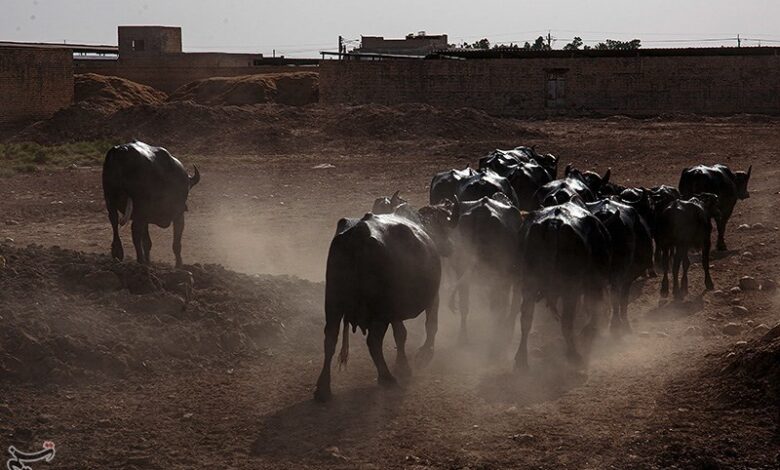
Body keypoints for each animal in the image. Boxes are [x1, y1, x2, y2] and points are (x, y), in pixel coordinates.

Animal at [102, 140, 200, 268]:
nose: (185, 206)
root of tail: (121, 151)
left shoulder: (145, 217)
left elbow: (147, 242)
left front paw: (149, 261)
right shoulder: (178, 215)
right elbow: (176, 244)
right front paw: (179, 265)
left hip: (110, 199)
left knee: (114, 221)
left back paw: (118, 253)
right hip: (139, 206)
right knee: (135, 230)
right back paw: (140, 260)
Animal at [312, 199, 458, 400]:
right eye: (444, 225)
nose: (451, 247)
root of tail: (359, 234)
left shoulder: (394, 312)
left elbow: (401, 334)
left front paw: (403, 365)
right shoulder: (432, 297)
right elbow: (430, 325)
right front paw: (424, 354)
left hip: (333, 302)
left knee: (330, 339)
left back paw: (323, 389)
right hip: (379, 312)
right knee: (373, 342)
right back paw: (386, 377)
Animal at [512, 202, 616, 370]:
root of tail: (554, 223)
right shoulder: (595, 283)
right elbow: (594, 309)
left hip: (529, 284)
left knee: (526, 320)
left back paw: (521, 359)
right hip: (570, 288)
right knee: (567, 322)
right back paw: (574, 355)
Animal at [584, 198, 652, 334]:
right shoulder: (628, 277)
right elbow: (623, 299)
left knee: (594, 295)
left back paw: (593, 324)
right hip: (618, 271)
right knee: (614, 294)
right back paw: (614, 324)